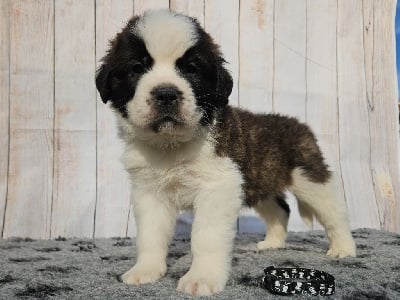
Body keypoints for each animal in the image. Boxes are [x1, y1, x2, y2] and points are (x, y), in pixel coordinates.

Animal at [96, 8, 356, 296]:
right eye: (137, 69)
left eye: (191, 69)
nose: (166, 94)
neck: (171, 144)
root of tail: (298, 124)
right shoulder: (149, 191)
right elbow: (150, 235)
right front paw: (145, 270)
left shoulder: (218, 186)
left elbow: (206, 236)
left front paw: (201, 278)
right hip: (259, 181)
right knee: (280, 209)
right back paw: (272, 243)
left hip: (309, 177)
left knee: (334, 210)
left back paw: (343, 248)